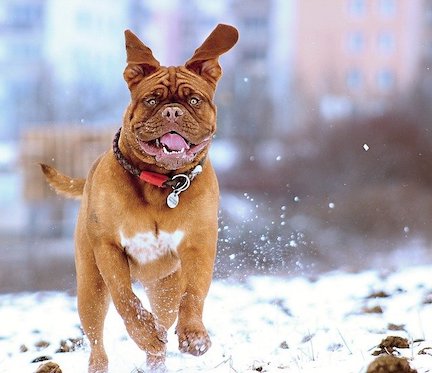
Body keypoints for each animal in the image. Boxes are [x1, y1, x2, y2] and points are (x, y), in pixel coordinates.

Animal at [41, 24, 240, 370]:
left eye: (193, 99)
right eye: (151, 100)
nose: (172, 111)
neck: (161, 183)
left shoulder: (199, 245)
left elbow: (194, 293)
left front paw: (194, 336)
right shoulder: (108, 248)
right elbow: (125, 298)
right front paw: (144, 333)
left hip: (164, 289)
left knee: (167, 314)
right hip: (89, 287)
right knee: (97, 338)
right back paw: (106, 362)